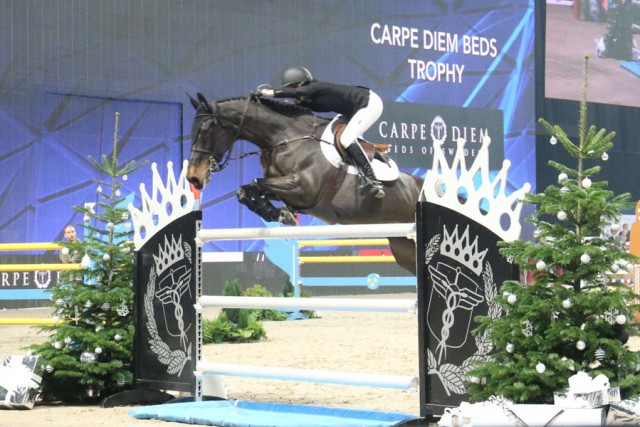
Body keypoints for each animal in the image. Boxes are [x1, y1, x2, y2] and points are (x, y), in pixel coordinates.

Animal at [186, 93, 424, 275]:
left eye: (204, 130)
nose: (193, 177)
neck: (285, 137)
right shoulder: (284, 188)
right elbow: (246, 190)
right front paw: (278, 213)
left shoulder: (304, 189)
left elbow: (256, 183)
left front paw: (282, 214)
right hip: (402, 244)